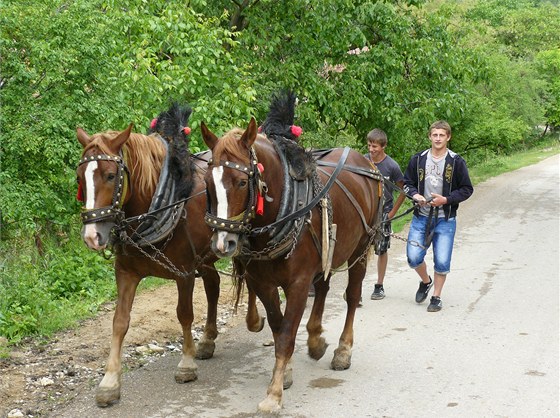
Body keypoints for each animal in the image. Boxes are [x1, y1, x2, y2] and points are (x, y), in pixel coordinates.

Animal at [75, 103, 264, 406]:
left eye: (111, 176)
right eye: (80, 178)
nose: (93, 236)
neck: (156, 205)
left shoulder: (184, 272)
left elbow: (184, 314)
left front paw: (186, 365)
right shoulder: (126, 273)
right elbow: (119, 322)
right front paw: (110, 381)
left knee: (248, 276)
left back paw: (254, 320)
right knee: (214, 286)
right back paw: (208, 339)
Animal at [201, 94, 384, 412]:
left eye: (241, 182)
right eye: (208, 183)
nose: (223, 243)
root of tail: (366, 164)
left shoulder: (297, 283)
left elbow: (286, 334)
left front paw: (274, 394)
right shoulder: (263, 282)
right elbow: (276, 327)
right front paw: (284, 372)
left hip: (360, 249)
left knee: (351, 296)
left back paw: (343, 350)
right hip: (329, 249)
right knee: (323, 287)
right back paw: (315, 338)